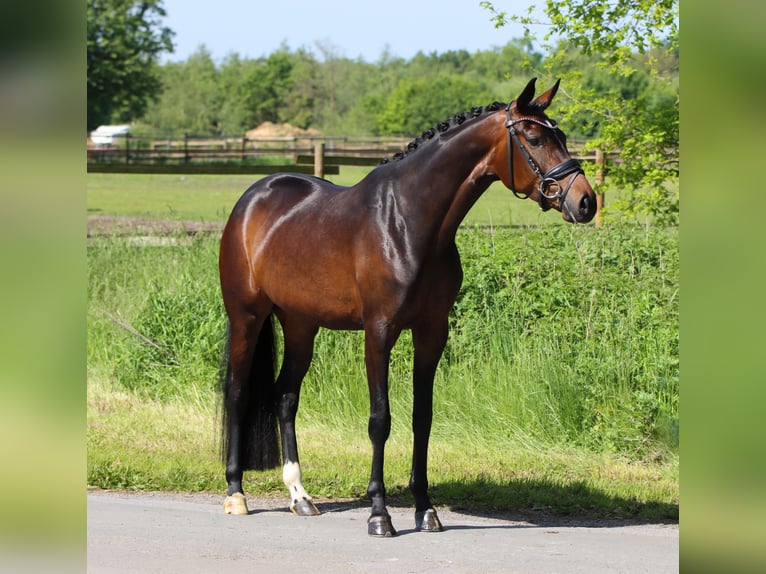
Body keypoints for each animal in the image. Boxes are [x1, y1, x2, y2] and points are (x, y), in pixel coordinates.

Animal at [218, 77, 596, 537]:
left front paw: (425, 509)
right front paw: (380, 513)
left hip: (301, 324)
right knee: (237, 392)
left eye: (562, 136)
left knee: (285, 396)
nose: (586, 201)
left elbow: (423, 418)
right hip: (247, 316)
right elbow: (380, 419)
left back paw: (300, 496)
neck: (408, 222)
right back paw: (236, 493)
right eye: (536, 139)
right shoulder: (379, 332)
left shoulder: (431, 331)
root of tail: (253, 198)